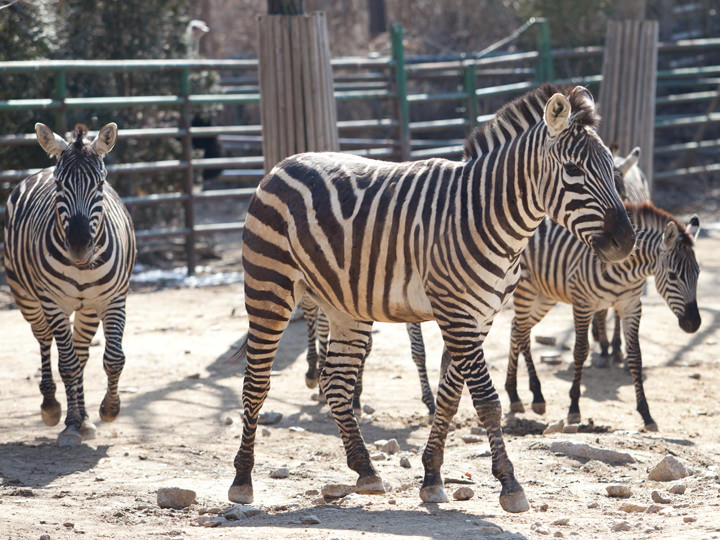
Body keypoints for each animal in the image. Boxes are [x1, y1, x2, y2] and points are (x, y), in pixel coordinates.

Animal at [3, 122, 138, 448]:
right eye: (60, 185)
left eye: (100, 184)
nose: (79, 248)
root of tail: (40, 169)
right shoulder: (52, 303)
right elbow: (67, 364)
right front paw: (71, 423)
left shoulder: (114, 299)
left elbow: (113, 359)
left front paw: (109, 410)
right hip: (28, 299)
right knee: (45, 340)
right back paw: (55, 409)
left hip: (87, 308)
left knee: (81, 353)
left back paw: (84, 418)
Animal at [233, 83, 632, 510]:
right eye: (574, 170)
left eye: (612, 170)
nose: (626, 241)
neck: (487, 216)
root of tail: (283, 164)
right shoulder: (456, 312)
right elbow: (486, 400)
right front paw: (509, 484)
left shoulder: (480, 315)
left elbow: (449, 398)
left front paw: (432, 476)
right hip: (269, 288)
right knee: (256, 382)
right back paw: (242, 479)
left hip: (345, 307)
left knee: (336, 382)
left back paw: (366, 469)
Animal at [504, 201, 700, 430]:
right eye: (673, 276)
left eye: (698, 274)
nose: (694, 324)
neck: (628, 270)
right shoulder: (583, 303)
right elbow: (580, 351)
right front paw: (574, 408)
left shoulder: (631, 306)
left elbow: (636, 356)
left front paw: (646, 414)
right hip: (526, 287)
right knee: (523, 334)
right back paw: (536, 396)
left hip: (545, 295)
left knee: (515, 328)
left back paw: (513, 394)